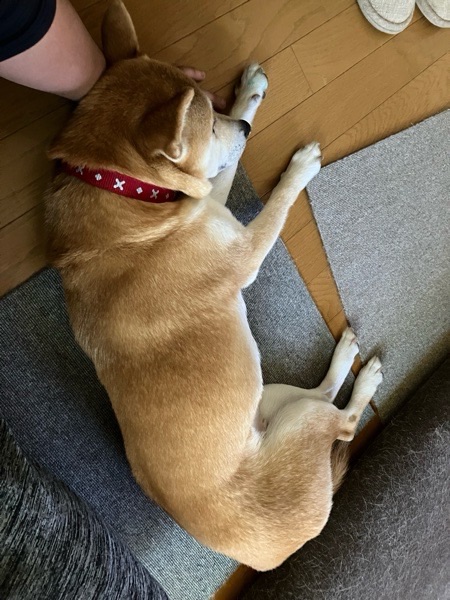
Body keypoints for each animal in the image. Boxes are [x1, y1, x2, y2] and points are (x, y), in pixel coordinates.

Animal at [45, 0, 383, 571]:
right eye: (213, 125)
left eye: (213, 108)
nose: (243, 125)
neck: (121, 192)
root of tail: (276, 552)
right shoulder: (241, 247)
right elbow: (275, 206)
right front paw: (299, 171)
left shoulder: (205, 201)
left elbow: (222, 177)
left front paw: (250, 92)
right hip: (304, 423)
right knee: (342, 422)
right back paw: (366, 382)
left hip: (272, 400)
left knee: (320, 391)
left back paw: (345, 355)